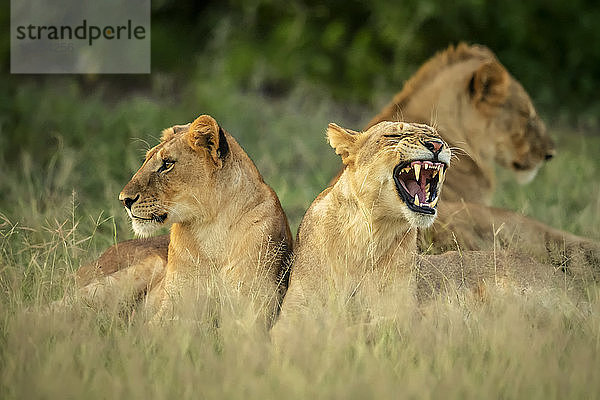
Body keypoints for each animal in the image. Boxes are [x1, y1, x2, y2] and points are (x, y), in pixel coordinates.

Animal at [72, 115, 292, 328]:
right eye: (146, 160)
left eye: (167, 164)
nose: (124, 200)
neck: (211, 228)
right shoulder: (174, 307)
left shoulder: (253, 308)